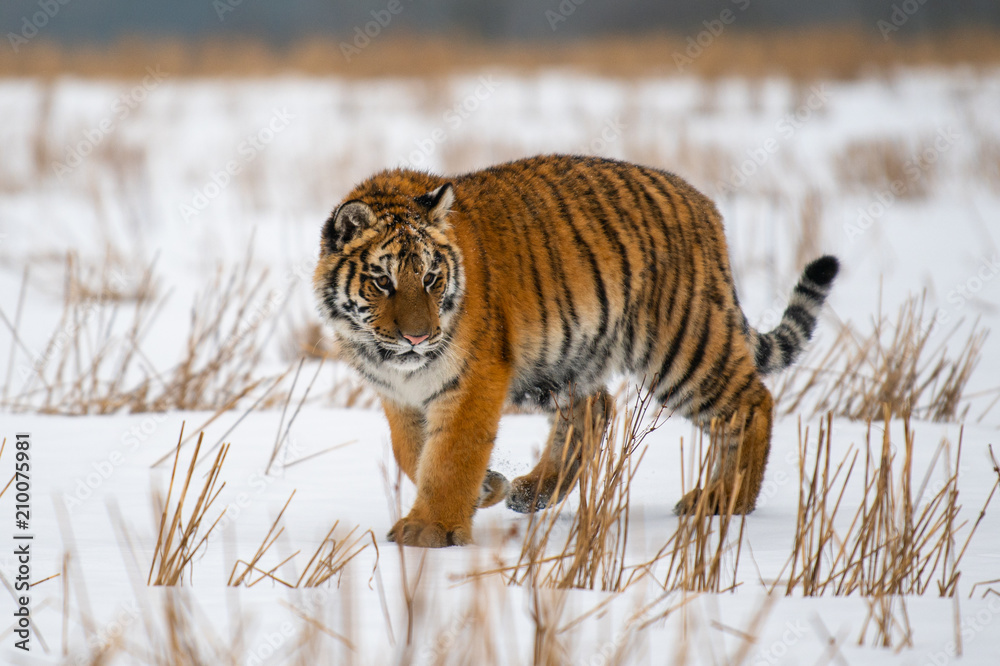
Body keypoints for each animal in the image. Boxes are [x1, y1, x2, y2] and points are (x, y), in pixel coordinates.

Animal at [313, 154, 839, 548]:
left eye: (429, 278)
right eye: (383, 281)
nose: (419, 338)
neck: (393, 360)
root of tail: (704, 205)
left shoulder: (472, 379)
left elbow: (449, 457)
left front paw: (429, 531)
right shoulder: (399, 394)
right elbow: (413, 453)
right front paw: (486, 488)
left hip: (680, 348)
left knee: (751, 404)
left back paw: (723, 501)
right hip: (561, 359)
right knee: (596, 407)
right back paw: (530, 492)